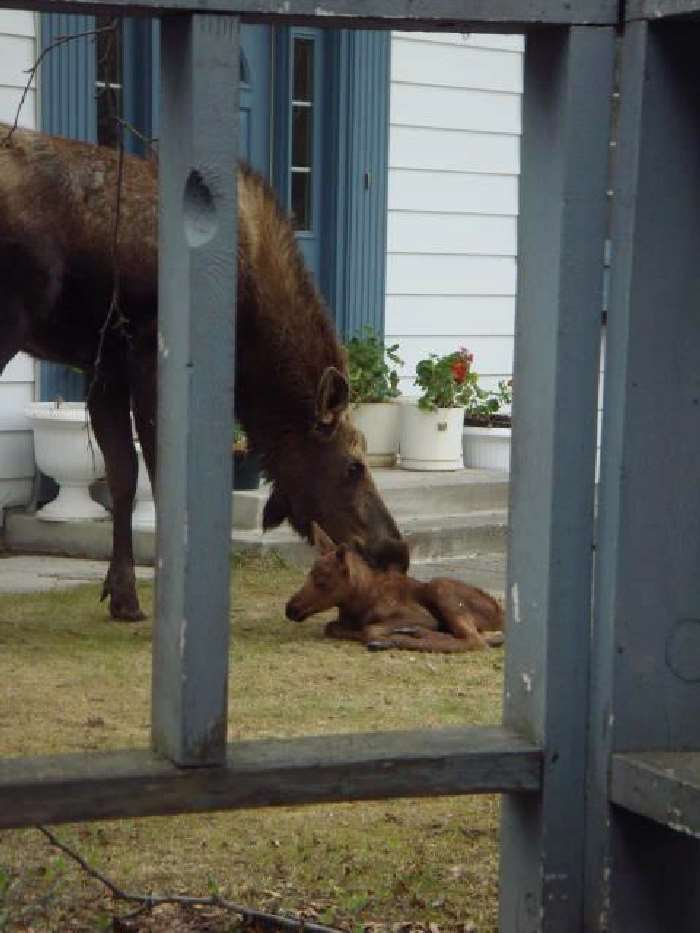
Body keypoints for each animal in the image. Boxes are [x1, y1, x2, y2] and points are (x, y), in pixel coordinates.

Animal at [0, 124, 402, 620]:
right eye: (353, 465)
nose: (396, 550)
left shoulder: (104, 367)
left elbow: (122, 476)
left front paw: (123, 594)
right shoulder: (149, 357)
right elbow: (161, 478)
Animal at [284, 520, 504, 652]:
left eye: (322, 581)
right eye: (308, 575)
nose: (290, 608)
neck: (357, 605)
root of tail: (501, 615)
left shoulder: (422, 617)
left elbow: (370, 629)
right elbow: (331, 626)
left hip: (440, 586)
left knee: (475, 641)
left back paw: (401, 636)